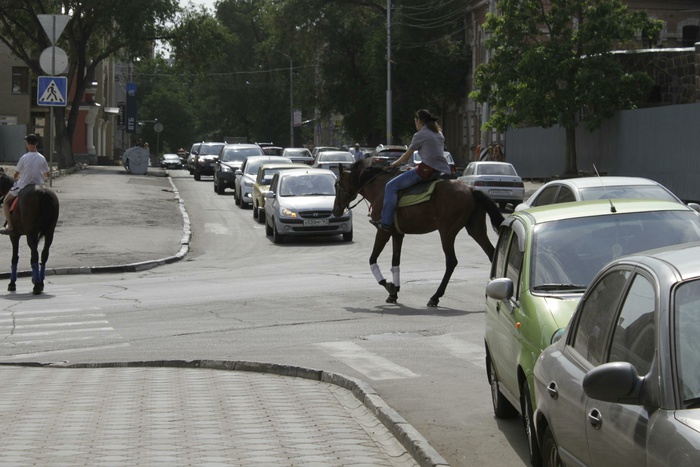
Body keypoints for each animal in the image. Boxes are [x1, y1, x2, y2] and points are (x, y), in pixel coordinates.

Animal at [334, 161, 504, 308]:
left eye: (337, 185)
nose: (335, 211)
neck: (380, 189)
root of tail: (470, 189)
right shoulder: (397, 234)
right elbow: (395, 262)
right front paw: (394, 293)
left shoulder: (383, 231)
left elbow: (372, 259)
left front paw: (389, 286)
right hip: (476, 229)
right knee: (491, 253)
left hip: (447, 232)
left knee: (451, 261)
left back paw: (435, 296)